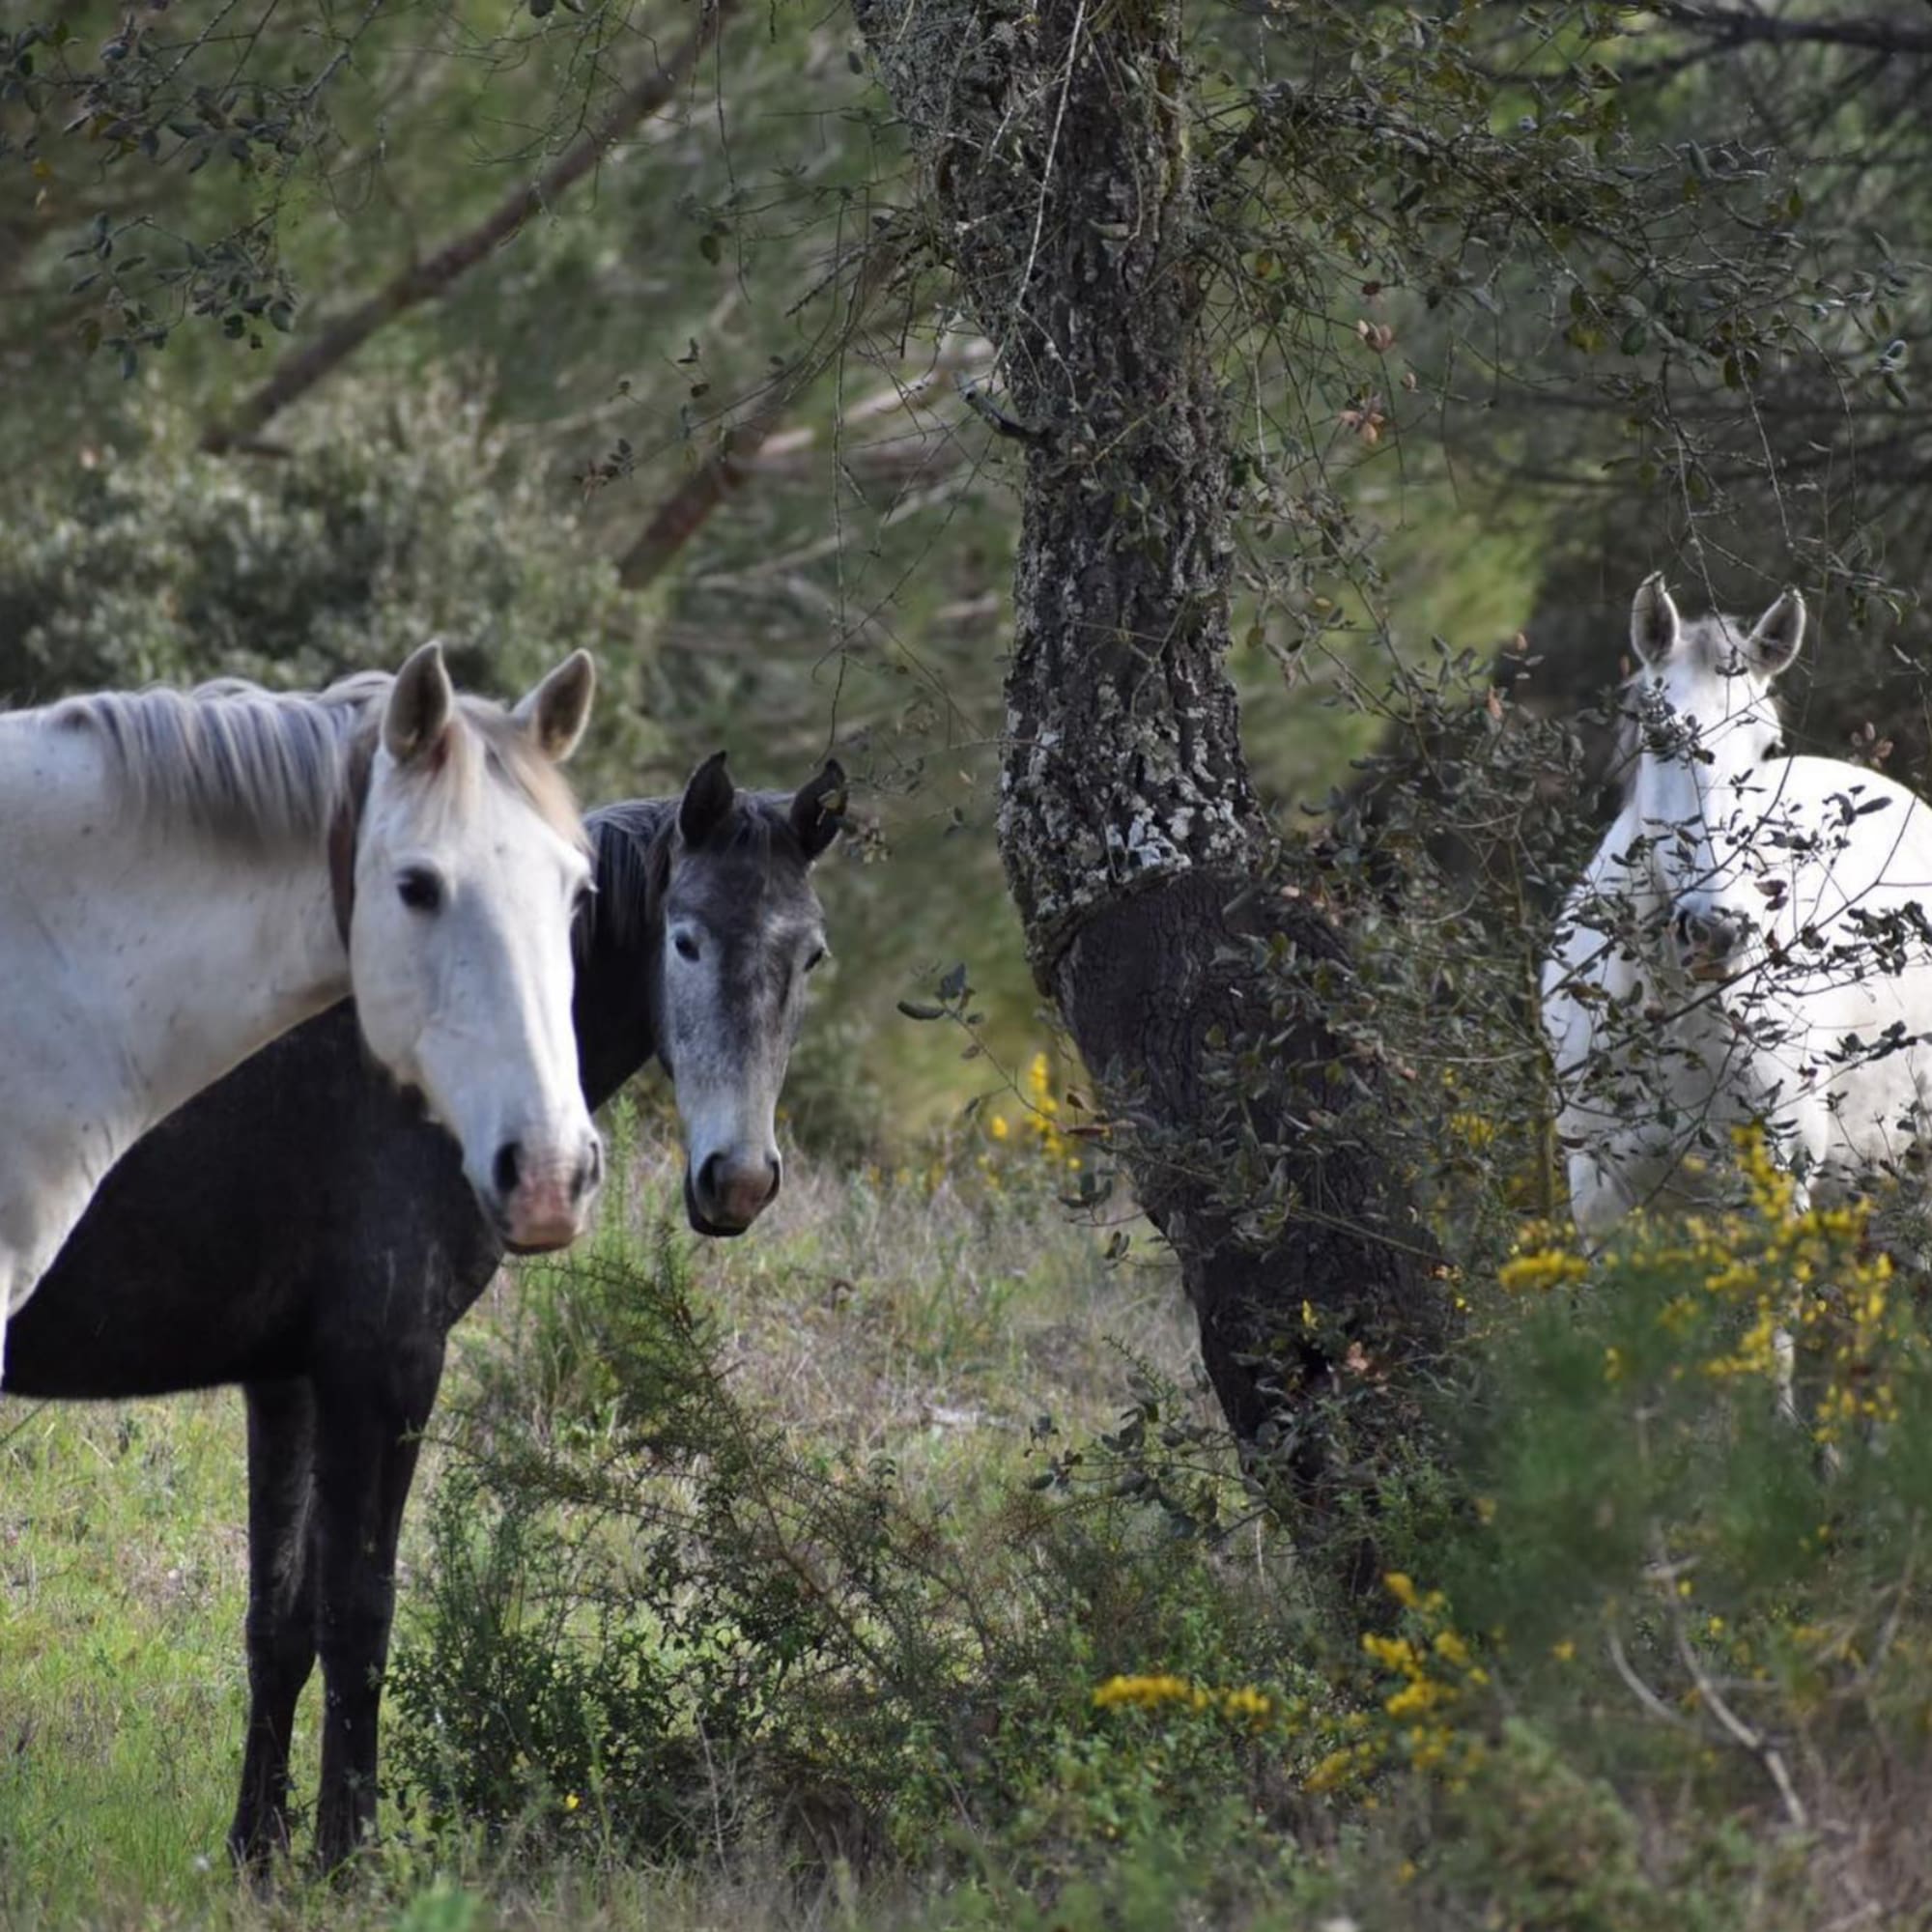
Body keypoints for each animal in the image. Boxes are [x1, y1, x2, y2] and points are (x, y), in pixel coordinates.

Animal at [1, 751, 845, 1872]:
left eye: (810, 954)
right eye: (686, 937)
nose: (739, 1180)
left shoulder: (289, 1378)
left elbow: (281, 1623)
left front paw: (258, 1854)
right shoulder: (387, 1366)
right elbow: (360, 1617)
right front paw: (345, 1858)